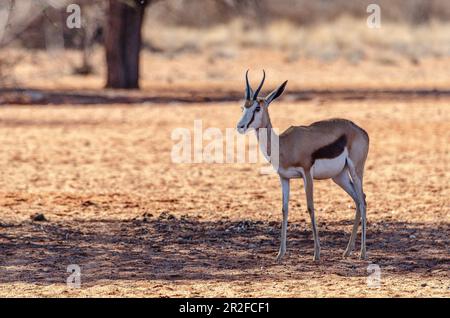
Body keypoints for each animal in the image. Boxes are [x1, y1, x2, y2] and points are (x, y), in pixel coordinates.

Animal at [236, 71, 370, 262]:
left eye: (257, 108)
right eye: (243, 107)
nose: (240, 126)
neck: (283, 144)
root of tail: (360, 130)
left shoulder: (307, 173)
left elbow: (310, 207)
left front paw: (316, 253)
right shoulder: (284, 178)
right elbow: (284, 209)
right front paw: (280, 254)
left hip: (356, 171)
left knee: (363, 201)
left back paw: (363, 253)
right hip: (340, 177)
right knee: (358, 200)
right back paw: (347, 251)